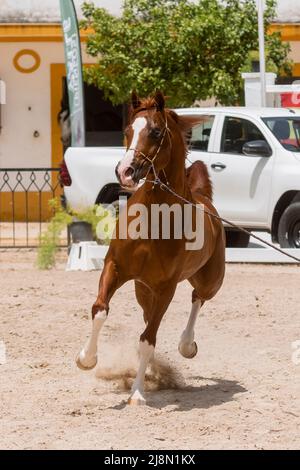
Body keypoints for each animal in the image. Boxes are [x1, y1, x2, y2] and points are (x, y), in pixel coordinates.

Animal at [76, 91, 226, 404]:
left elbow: (148, 339)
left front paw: (137, 394)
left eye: (156, 132)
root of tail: (205, 200)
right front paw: (86, 359)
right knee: (149, 317)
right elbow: (100, 310)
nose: (125, 171)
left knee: (197, 298)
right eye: (128, 130)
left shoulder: (165, 289)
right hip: (142, 290)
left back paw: (186, 346)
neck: (153, 219)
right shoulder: (115, 268)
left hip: (210, 281)